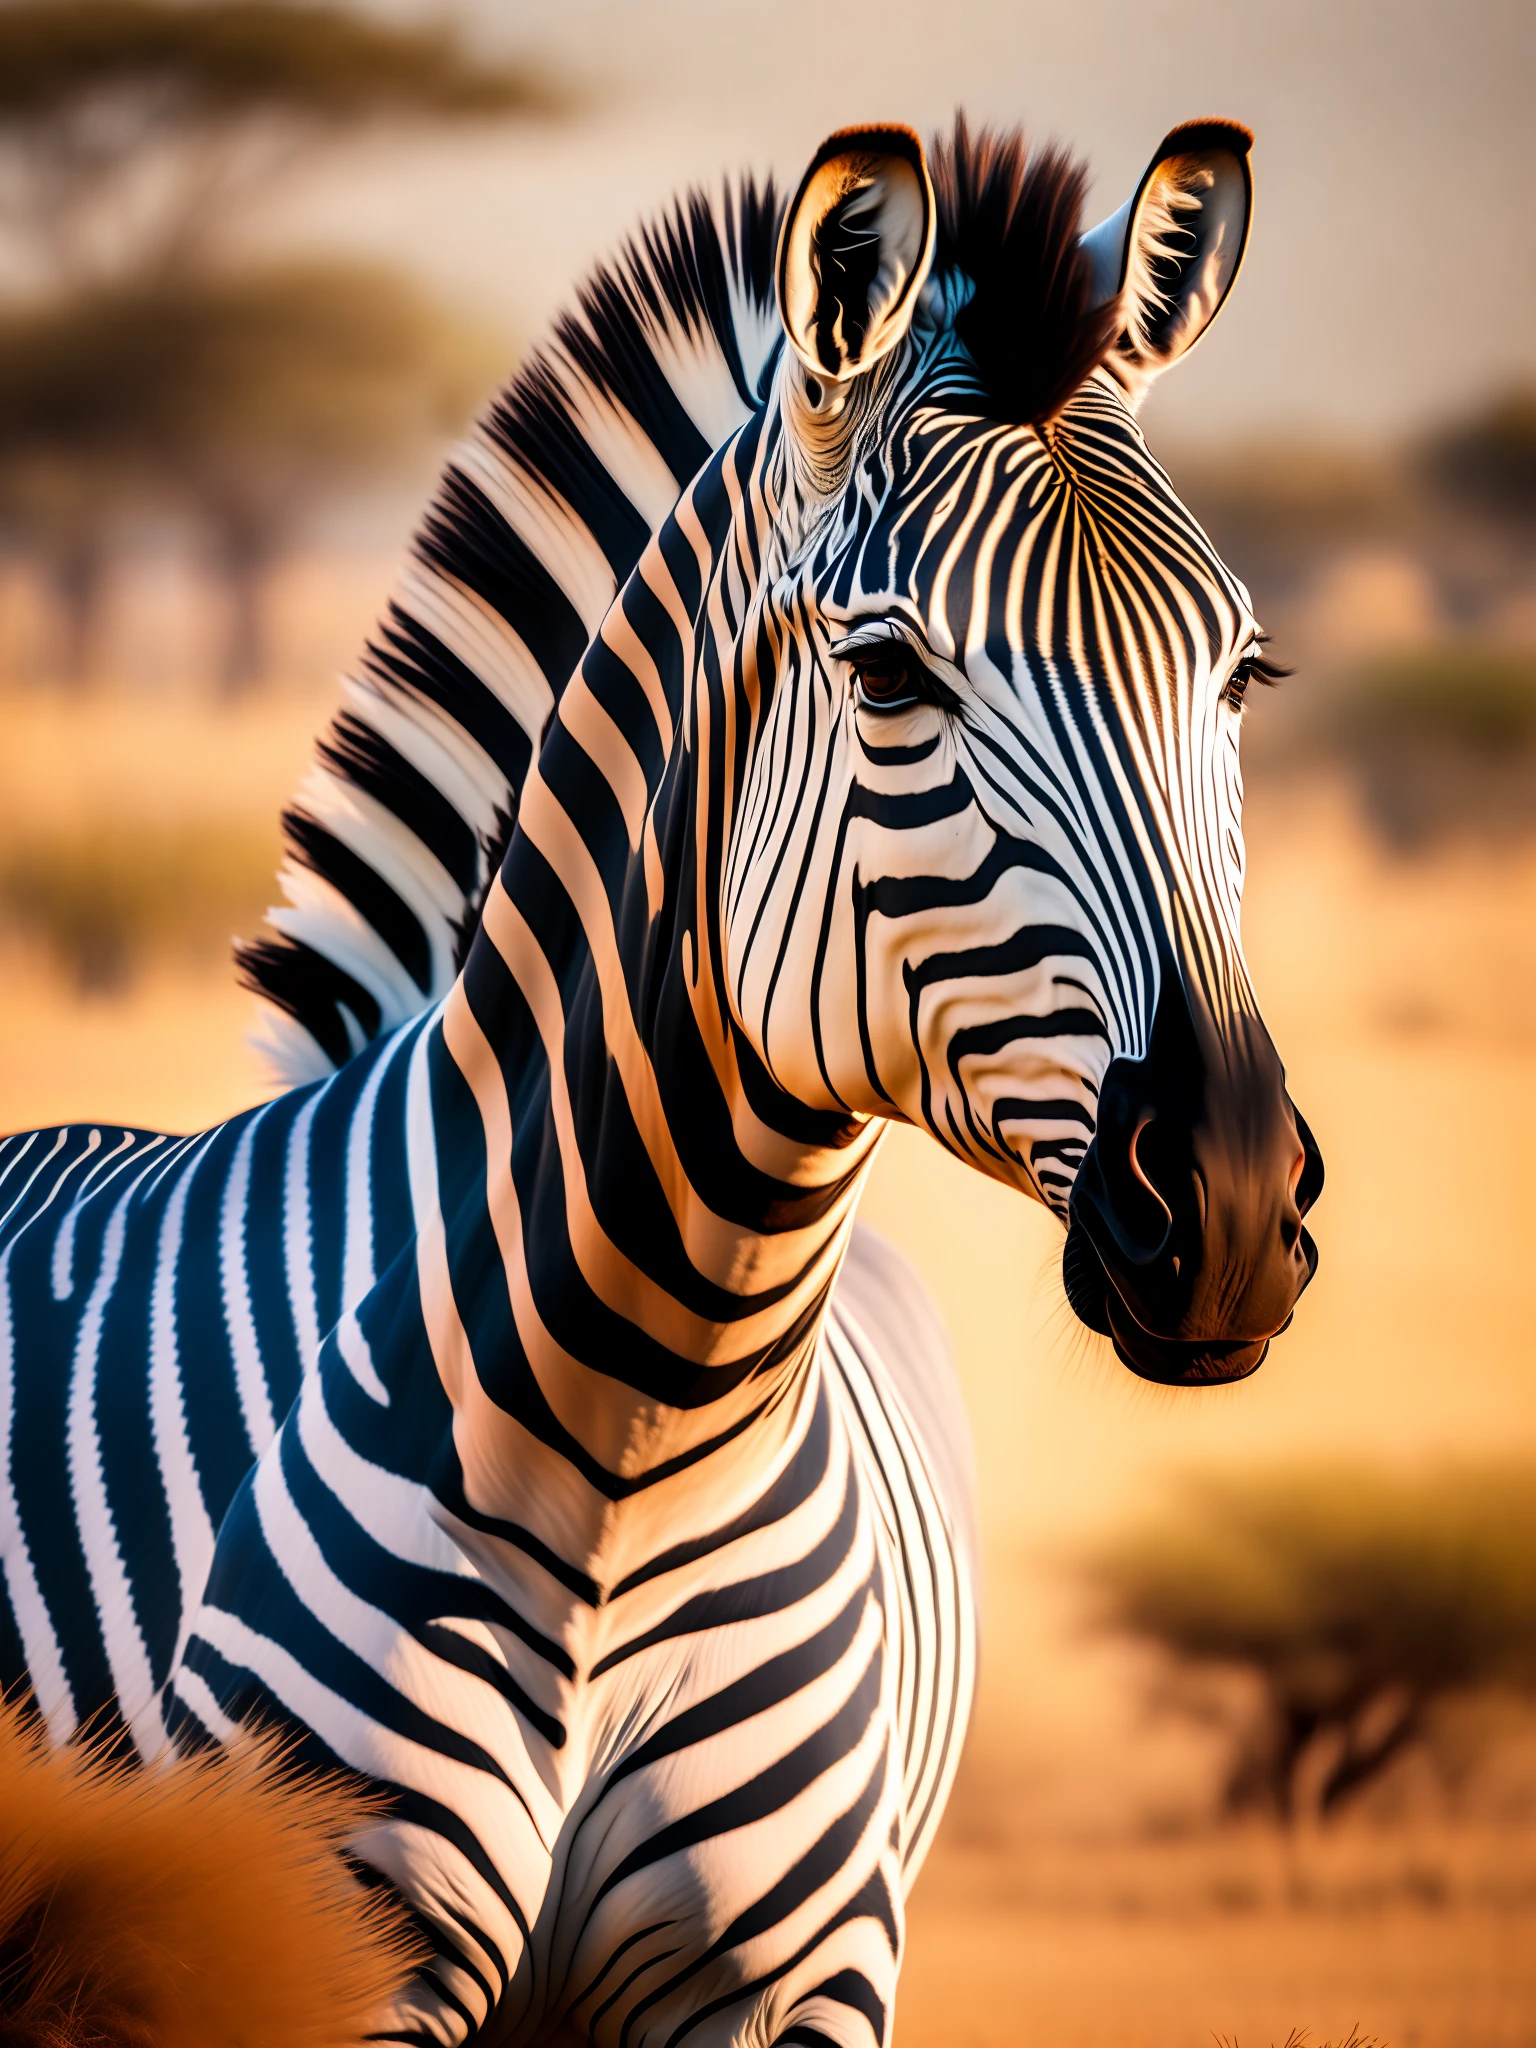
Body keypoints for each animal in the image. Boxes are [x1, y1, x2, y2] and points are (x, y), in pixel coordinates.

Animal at [3, 116, 1327, 2048]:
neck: (649, 1415)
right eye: (888, 672)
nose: (1226, 1213)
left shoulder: (790, 1981)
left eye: (1240, 674)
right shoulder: (325, 1961)